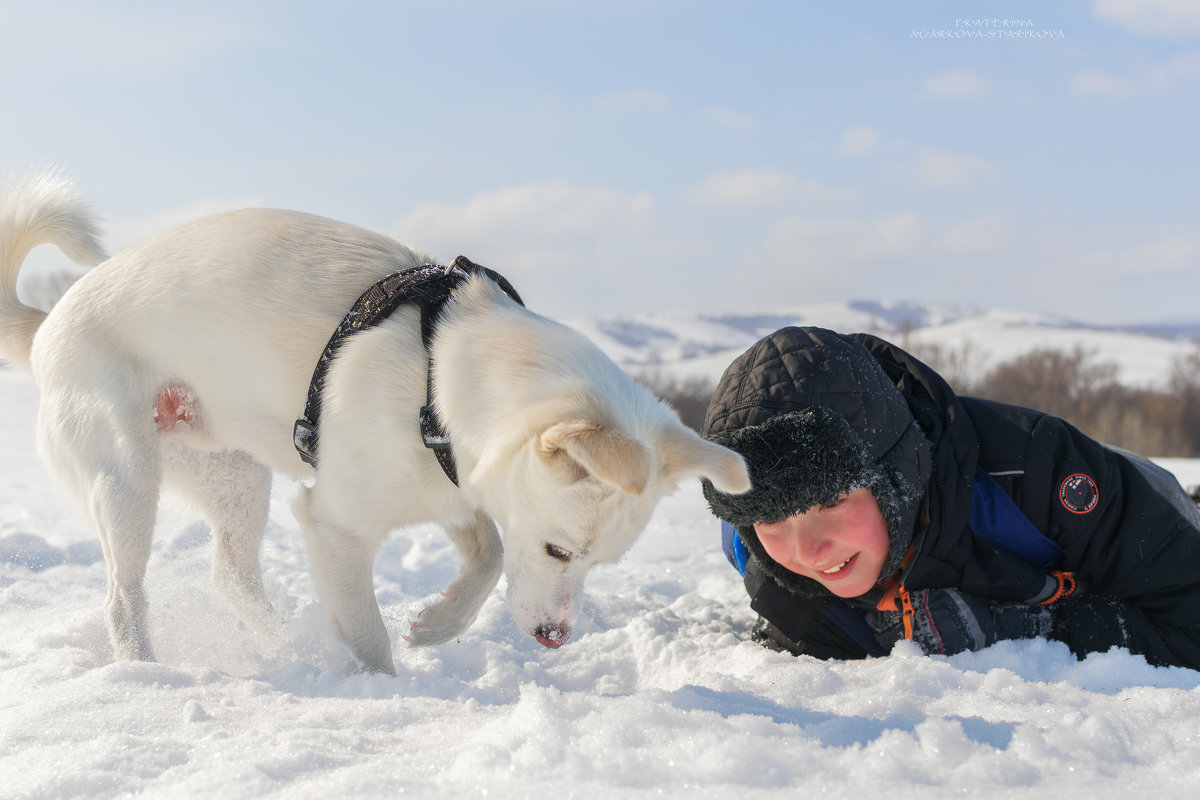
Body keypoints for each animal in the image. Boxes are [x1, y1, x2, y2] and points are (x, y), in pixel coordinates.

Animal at [0, 173, 748, 676]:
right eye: (559, 551)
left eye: (603, 562)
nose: (553, 639)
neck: (437, 374)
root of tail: (50, 318)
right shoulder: (337, 525)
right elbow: (367, 632)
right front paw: (387, 691)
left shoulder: (450, 489)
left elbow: (488, 555)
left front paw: (438, 624)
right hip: (128, 477)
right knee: (123, 597)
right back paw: (144, 669)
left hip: (233, 477)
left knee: (230, 575)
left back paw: (282, 643)